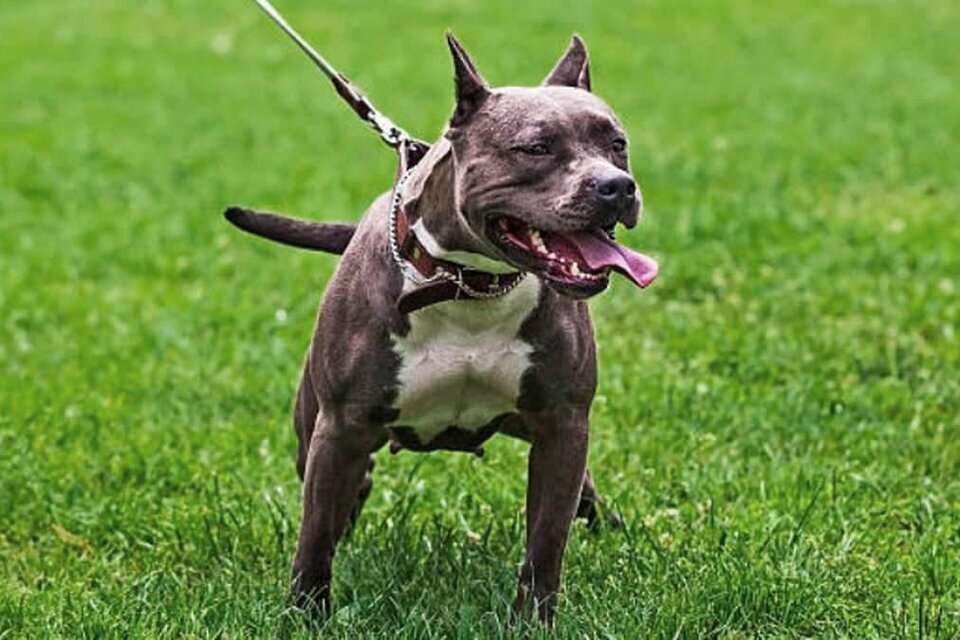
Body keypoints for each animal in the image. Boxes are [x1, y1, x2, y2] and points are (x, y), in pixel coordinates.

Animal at [228, 32, 656, 624]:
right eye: (535, 149)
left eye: (617, 144)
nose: (618, 187)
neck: (468, 288)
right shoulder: (339, 430)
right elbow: (313, 541)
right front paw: (305, 615)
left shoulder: (563, 425)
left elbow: (547, 542)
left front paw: (533, 620)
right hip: (316, 434)